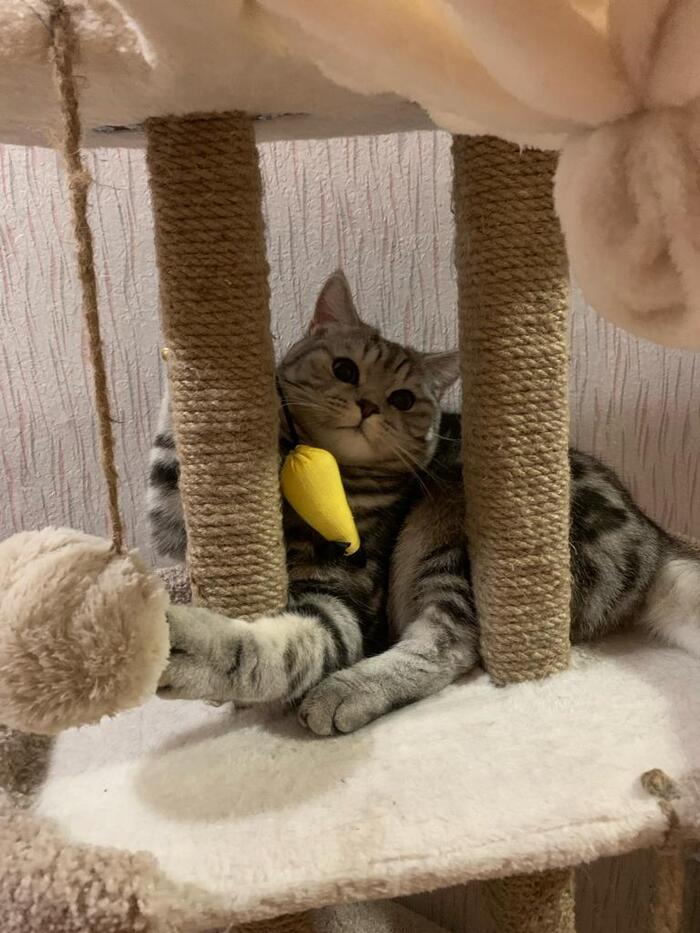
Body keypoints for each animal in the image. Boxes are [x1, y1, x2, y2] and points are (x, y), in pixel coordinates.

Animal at [149, 270, 700, 735]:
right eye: (345, 369)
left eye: (402, 399)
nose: (369, 405)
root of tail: (656, 539)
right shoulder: (175, 529)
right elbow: (167, 467)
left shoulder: (347, 598)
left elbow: (285, 647)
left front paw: (188, 647)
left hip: (448, 539)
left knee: (449, 646)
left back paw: (348, 690)